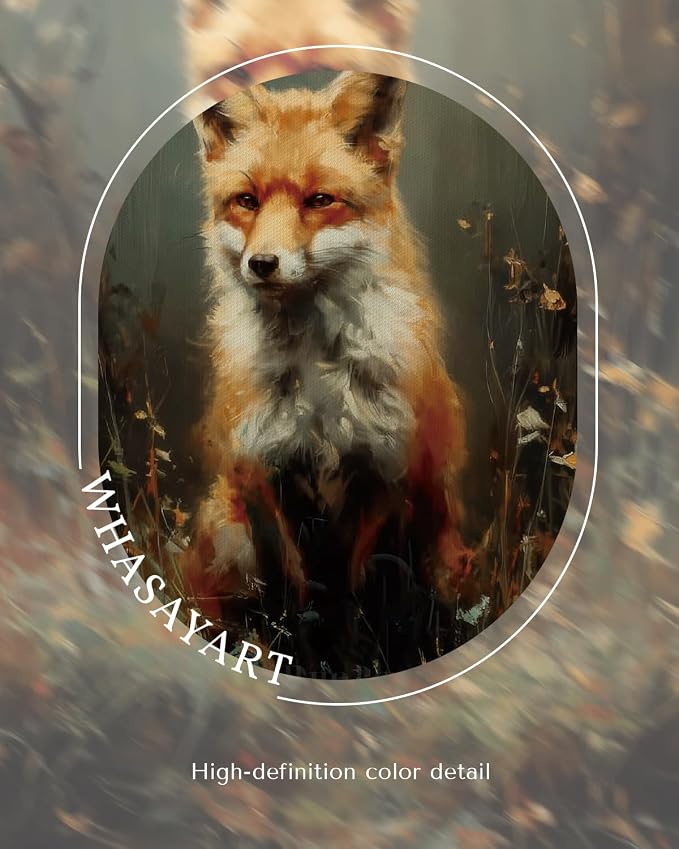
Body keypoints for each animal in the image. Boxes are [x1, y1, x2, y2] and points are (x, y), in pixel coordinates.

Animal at [184, 72, 474, 670]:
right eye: (246, 201)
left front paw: (345, 662)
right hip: (226, 533)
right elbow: (292, 586)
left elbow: (348, 587)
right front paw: (295, 655)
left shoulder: (385, 473)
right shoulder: (261, 471)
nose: (262, 264)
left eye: (320, 201)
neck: (314, 379)